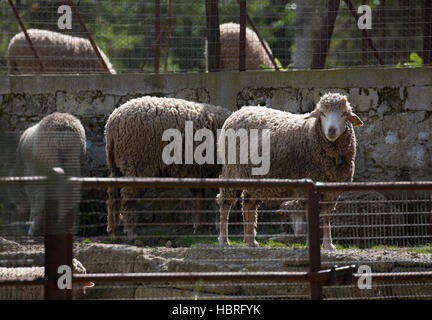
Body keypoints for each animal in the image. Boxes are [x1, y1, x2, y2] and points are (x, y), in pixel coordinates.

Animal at [105, 96, 233, 241]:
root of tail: (112, 124)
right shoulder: (217, 171)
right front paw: (215, 226)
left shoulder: (199, 171)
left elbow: (199, 198)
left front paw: (198, 227)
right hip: (136, 164)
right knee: (128, 196)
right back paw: (131, 232)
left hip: (117, 166)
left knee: (113, 196)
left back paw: (113, 232)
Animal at [218, 92, 362, 250]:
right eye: (322, 113)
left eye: (344, 114)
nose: (331, 130)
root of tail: (239, 111)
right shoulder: (307, 187)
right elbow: (310, 215)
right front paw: (310, 244)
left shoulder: (331, 192)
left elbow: (325, 216)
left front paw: (328, 244)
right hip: (231, 170)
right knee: (225, 202)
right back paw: (224, 240)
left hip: (253, 178)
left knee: (248, 204)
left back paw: (251, 241)